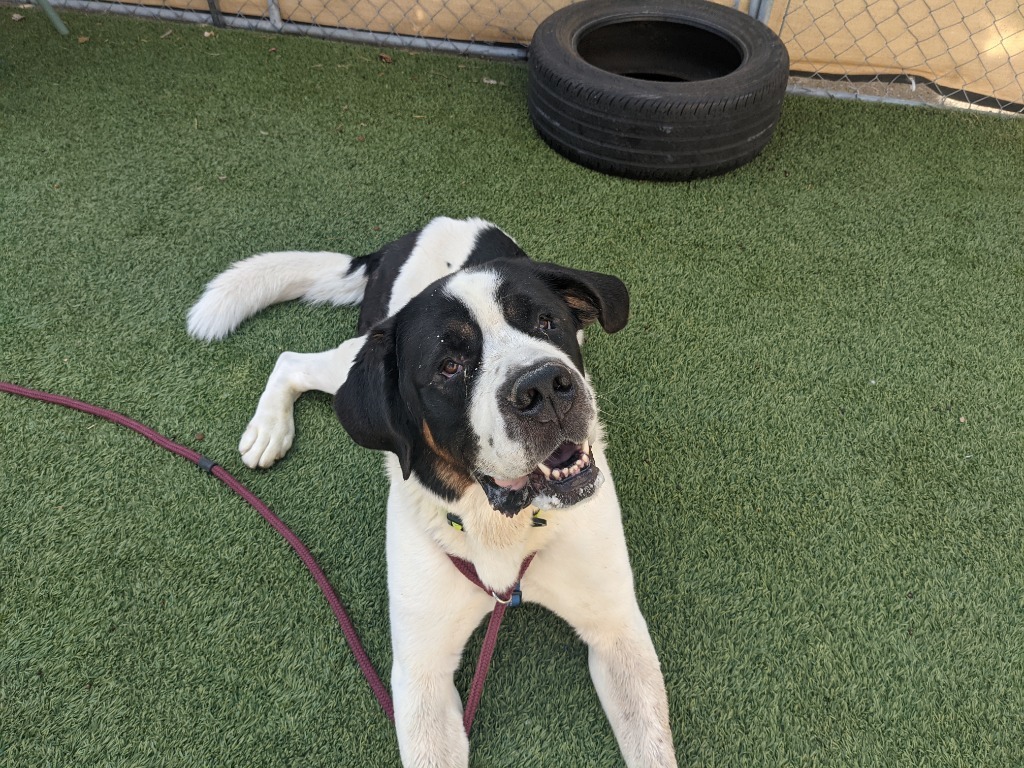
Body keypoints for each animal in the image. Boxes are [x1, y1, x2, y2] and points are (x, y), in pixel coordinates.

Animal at [188, 218, 675, 768]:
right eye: (449, 367)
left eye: (548, 323)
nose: (546, 387)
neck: (499, 525)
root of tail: (419, 232)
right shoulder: (421, 674)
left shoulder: (617, 630)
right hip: (358, 355)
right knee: (292, 360)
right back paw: (268, 430)